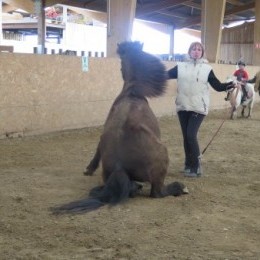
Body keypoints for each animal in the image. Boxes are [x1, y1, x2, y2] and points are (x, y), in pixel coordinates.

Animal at [51, 41, 188, 214]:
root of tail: (119, 166)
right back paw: (179, 188)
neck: (131, 92)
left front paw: (88, 170)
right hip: (162, 159)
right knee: (156, 193)